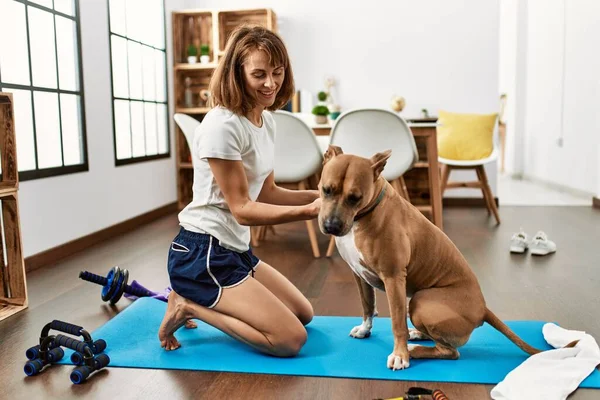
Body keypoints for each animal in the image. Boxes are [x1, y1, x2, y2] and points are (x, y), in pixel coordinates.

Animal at [318, 145, 540, 370]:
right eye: (326, 190)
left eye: (355, 197)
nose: (331, 226)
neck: (362, 216)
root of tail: (483, 309)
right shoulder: (359, 275)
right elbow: (367, 306)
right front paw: (365, 329)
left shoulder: (393, 279)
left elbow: (397, 323)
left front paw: (400, 355)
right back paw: (417, 335)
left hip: (421, 301)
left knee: (450, 351)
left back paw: (413, 350)